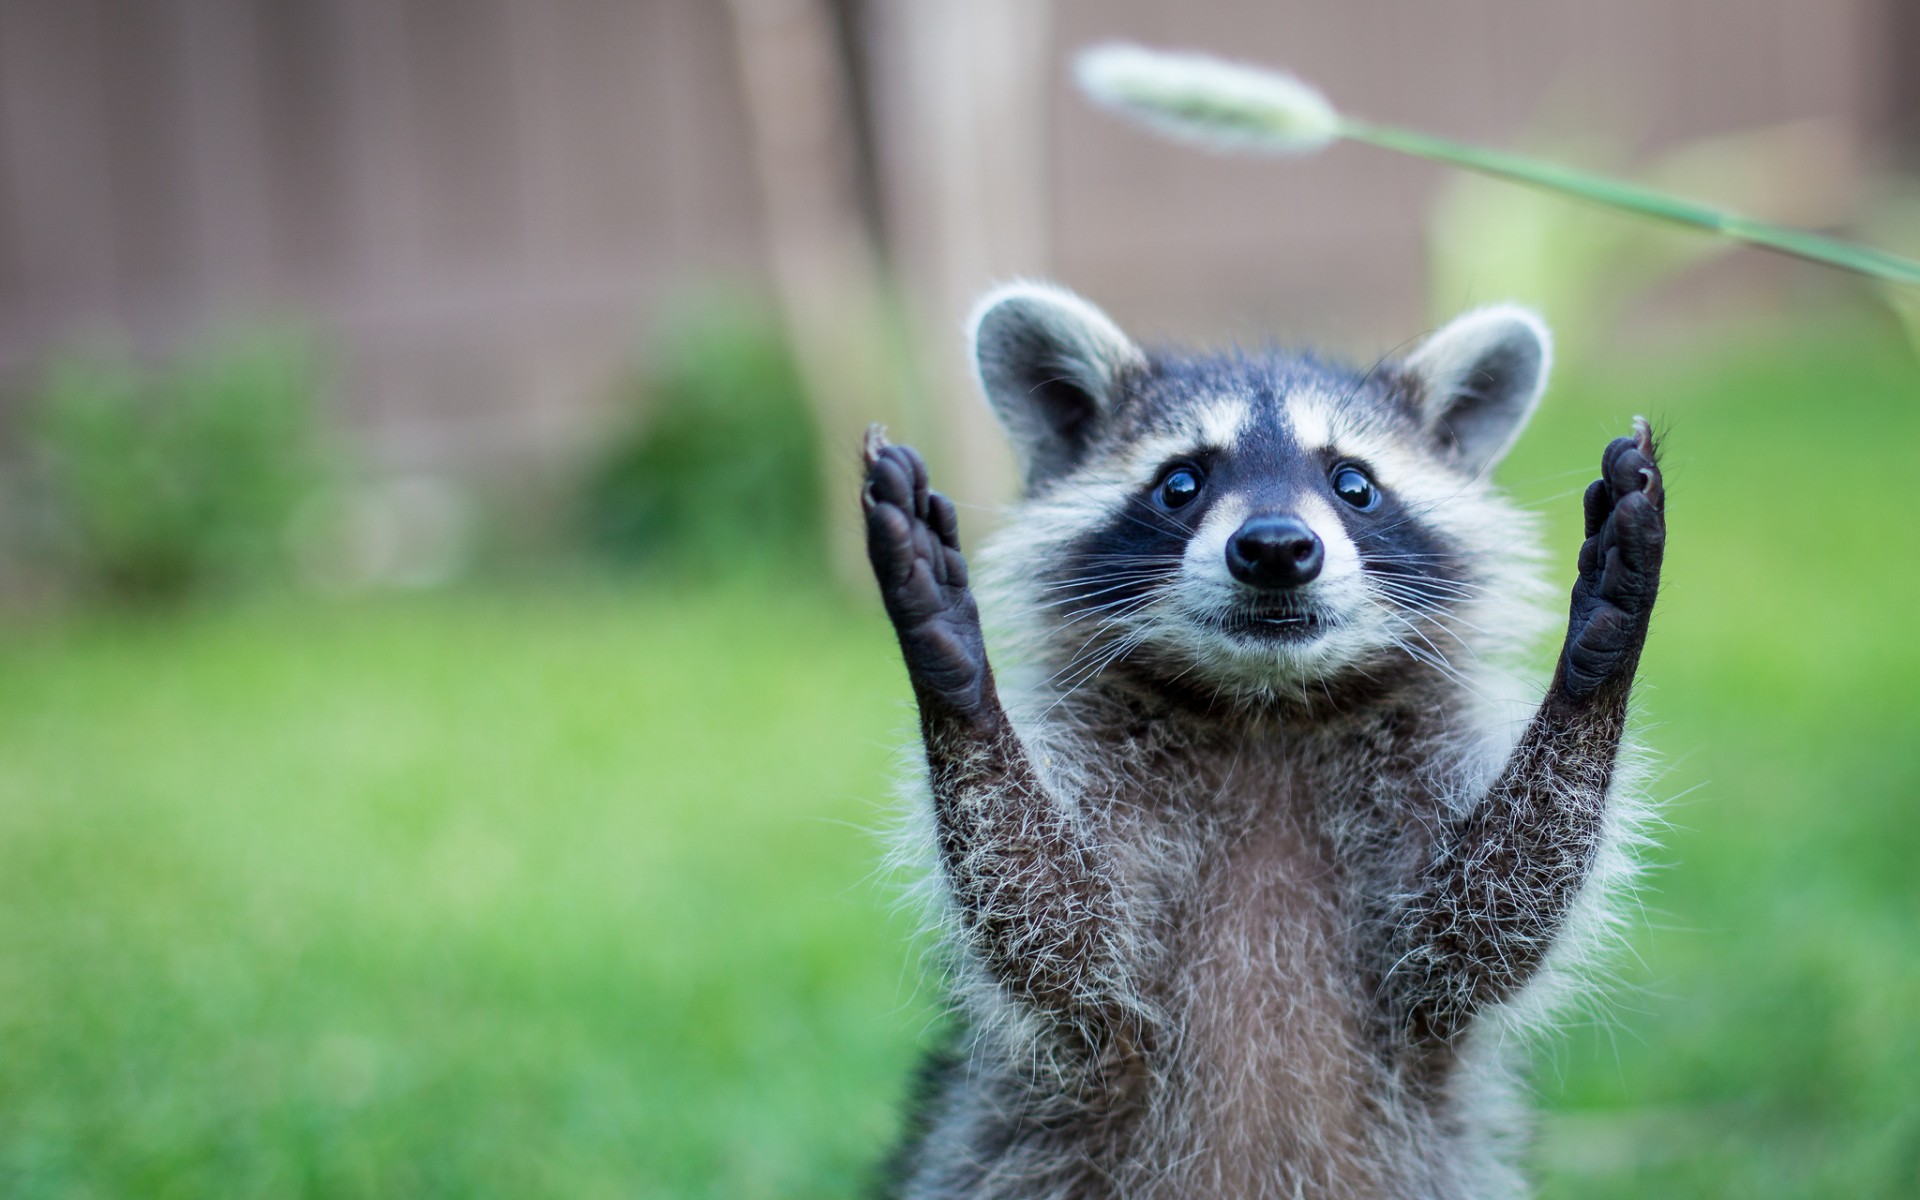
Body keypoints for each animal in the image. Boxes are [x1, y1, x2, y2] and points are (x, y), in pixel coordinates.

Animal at [863, 282, 1666, 1200]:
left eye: (1354, 484)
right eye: (1180, 482)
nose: (1276, 547)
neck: (1267, 708)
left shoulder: (1422, 790)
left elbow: (1486, 915)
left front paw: (1597, 660)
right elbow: (1053, 922)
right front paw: (955, 673)